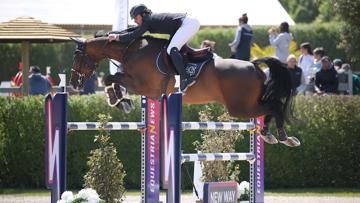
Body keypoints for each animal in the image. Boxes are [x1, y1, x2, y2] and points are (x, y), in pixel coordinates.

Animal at [69, 35, 300, 147]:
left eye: (77, 57)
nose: (74, 84)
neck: (130, 51)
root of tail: (253, 65)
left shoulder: (146, 88)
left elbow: (111, 77)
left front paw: (120, 101)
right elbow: (114, 79)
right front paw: (118, 99)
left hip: (239, 107)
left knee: (274, 106)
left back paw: (282, 136)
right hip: (249, 103)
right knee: (272, 107)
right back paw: (269, 134)